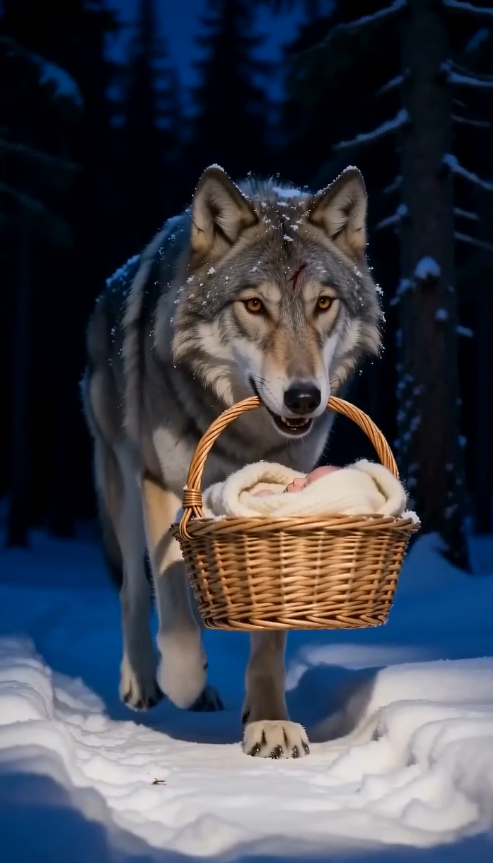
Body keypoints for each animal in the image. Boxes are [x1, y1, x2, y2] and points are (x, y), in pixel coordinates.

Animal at [81, 164, 382, 758]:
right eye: (254, 305)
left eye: (323, 304)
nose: (304, 398)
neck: (242, 436)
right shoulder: (161, 485)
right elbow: (174, 619)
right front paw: (182, 681)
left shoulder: (285, 507)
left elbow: (269, 637)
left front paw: (269, 722)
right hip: (122, 481)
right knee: (133, 588)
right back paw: (143, 684)